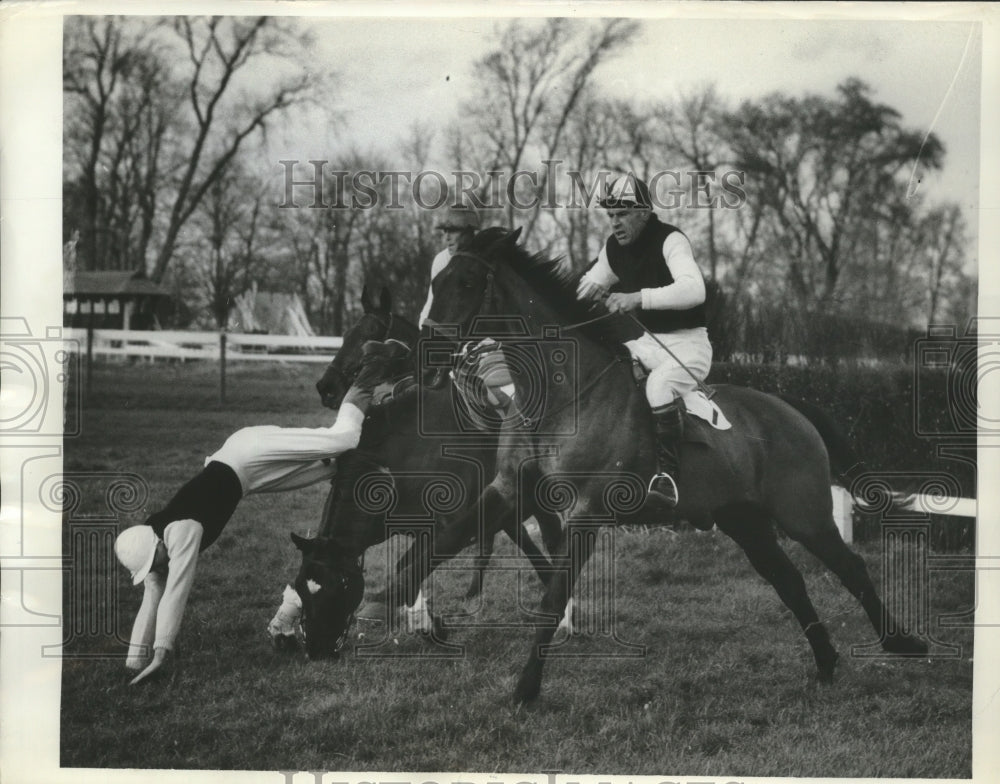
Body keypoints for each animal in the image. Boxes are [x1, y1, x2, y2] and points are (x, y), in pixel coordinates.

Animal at [392, 227, 928, 704]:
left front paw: (526, 690)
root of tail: (791, 408)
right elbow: (440, 542)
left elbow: (552, 601)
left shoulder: (585, 514)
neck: (562, 395)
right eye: (435, 279)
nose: (425, 357)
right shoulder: (508, 489)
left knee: (851, 568)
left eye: (465, 281)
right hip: (746, 521)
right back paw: (826, 661)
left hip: (804, 516)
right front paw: (403, 597)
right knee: (789, 580)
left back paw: (901, 643)